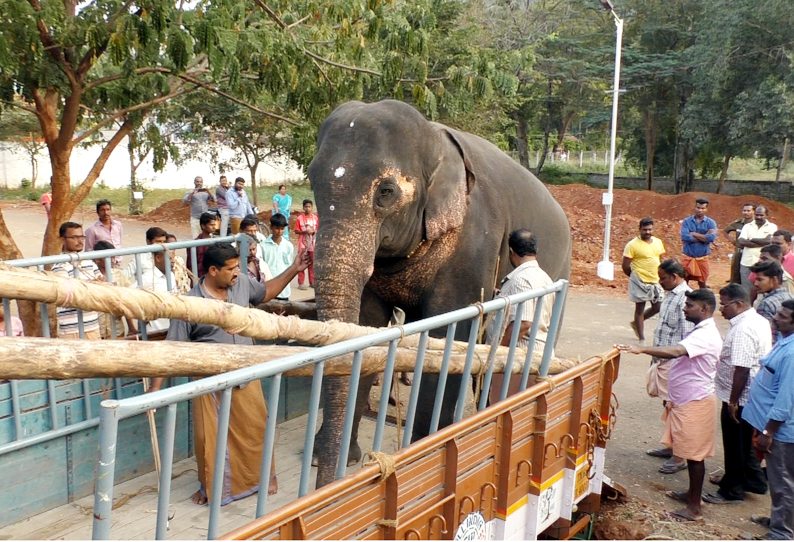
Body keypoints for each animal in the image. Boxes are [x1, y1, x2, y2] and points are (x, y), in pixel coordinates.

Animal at [304, 101, 568, 488]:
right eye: (312, 182)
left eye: (385, 192)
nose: (327, 486)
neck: (435, 136)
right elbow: (368, 326)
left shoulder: (473, 243)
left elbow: (445, 336)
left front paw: (425, 458)